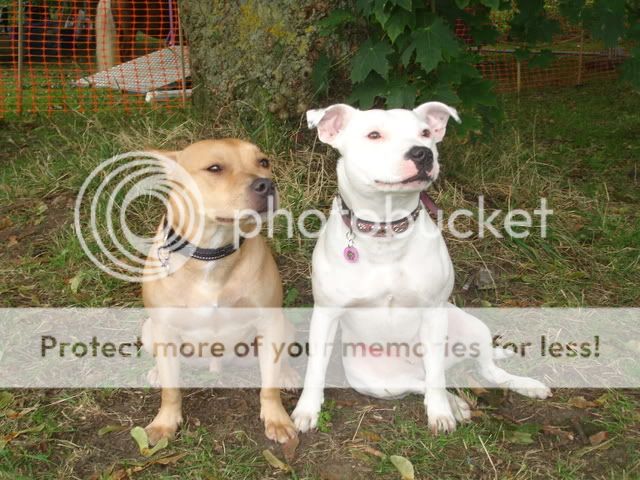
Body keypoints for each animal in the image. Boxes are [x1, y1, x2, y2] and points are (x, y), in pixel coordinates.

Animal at [141, 141, 296, 444]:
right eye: (215, 168)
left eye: (263, 162)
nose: (266, 184)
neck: (211, 253)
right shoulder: (164, 328)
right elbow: (171, 391)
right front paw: (165, 422)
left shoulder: (270, 321)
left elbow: (269, 385)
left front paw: (276, 418)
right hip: (148, 330)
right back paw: (155, 372)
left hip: (285, 326)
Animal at [292, 103, 552, 434]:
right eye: (374, 135)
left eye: (426, 133)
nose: (422, 153)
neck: (386, 231)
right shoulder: (326, 314)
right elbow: (315, 369)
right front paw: (306, 410)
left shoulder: (433, 311)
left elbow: (436, 376)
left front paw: (440, 413)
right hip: (375, 382)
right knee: (420, 382)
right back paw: (457, 403)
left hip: (471, 325)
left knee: (474, 372)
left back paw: (524, 385)